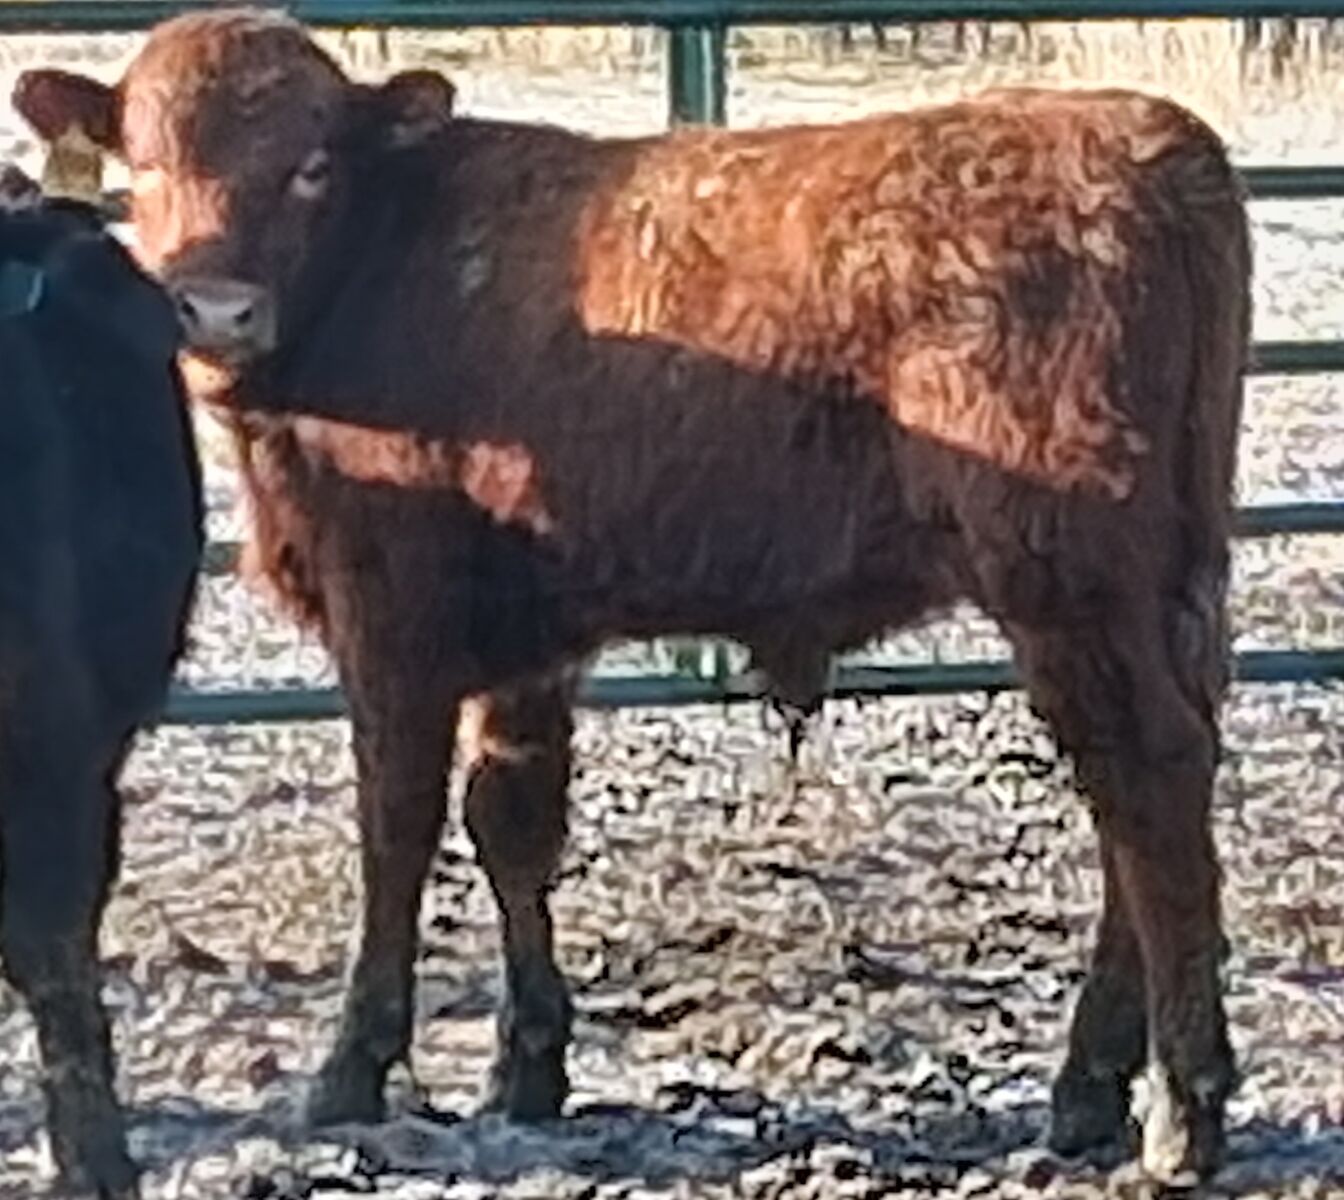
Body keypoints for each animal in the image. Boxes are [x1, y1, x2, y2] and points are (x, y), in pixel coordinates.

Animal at [15, 8, 1251, 1185]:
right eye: (145, 163)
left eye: (312, 165)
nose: (215, 311)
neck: (386, 258)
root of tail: (1146, 138)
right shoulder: (526, 631)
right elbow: (512, 819)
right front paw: (527, 1067)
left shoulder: (392, 608)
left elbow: (395, 825)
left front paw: (354, 1069)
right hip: (1168, 586)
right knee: (1144, 792)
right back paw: (1091, 1088)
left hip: (1070, 582)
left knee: (1146, 782)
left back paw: (1179, 1109)